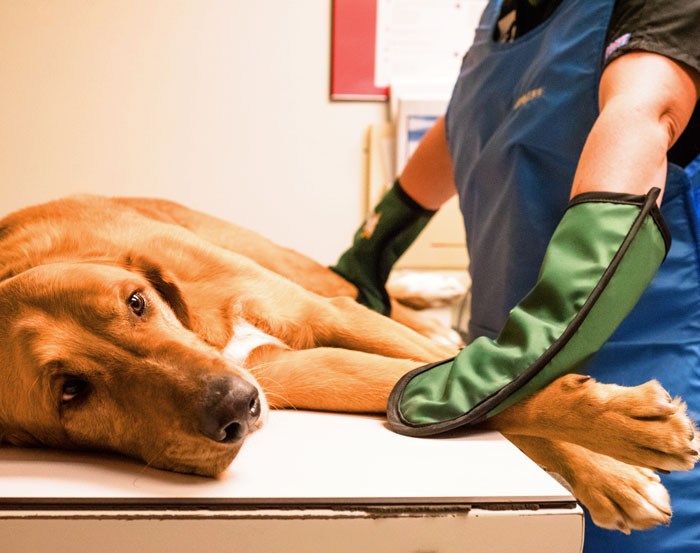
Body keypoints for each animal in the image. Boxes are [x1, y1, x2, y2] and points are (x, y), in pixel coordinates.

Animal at [0, 195, 696, 536]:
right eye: (70, 392)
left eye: (137, 303)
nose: (235, 407)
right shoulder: (292, 370)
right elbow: (470, 397)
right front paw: (614, 462)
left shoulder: (321, 316)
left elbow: (492, 383)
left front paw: (614, 454)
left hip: (307, 278)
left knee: (404, 315)